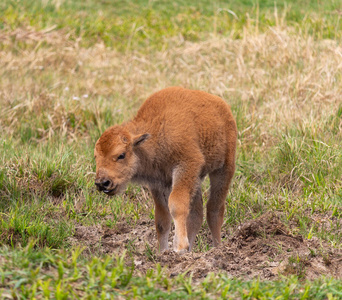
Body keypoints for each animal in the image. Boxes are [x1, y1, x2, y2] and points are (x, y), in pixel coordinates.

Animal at [94, 86, 238, 253]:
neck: (157, 131)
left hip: (223, 169)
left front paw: (179, 247)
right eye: (96, 156)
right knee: (196, 214)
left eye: (121, 155)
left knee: (214, 210)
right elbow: (162, 220)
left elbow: (176, 205)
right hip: (197, 179)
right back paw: (191, 250)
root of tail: (223, 107)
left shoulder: (186, 166)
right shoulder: (158, 183)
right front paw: (162, 252)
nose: (102, 183)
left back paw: (217, 248)